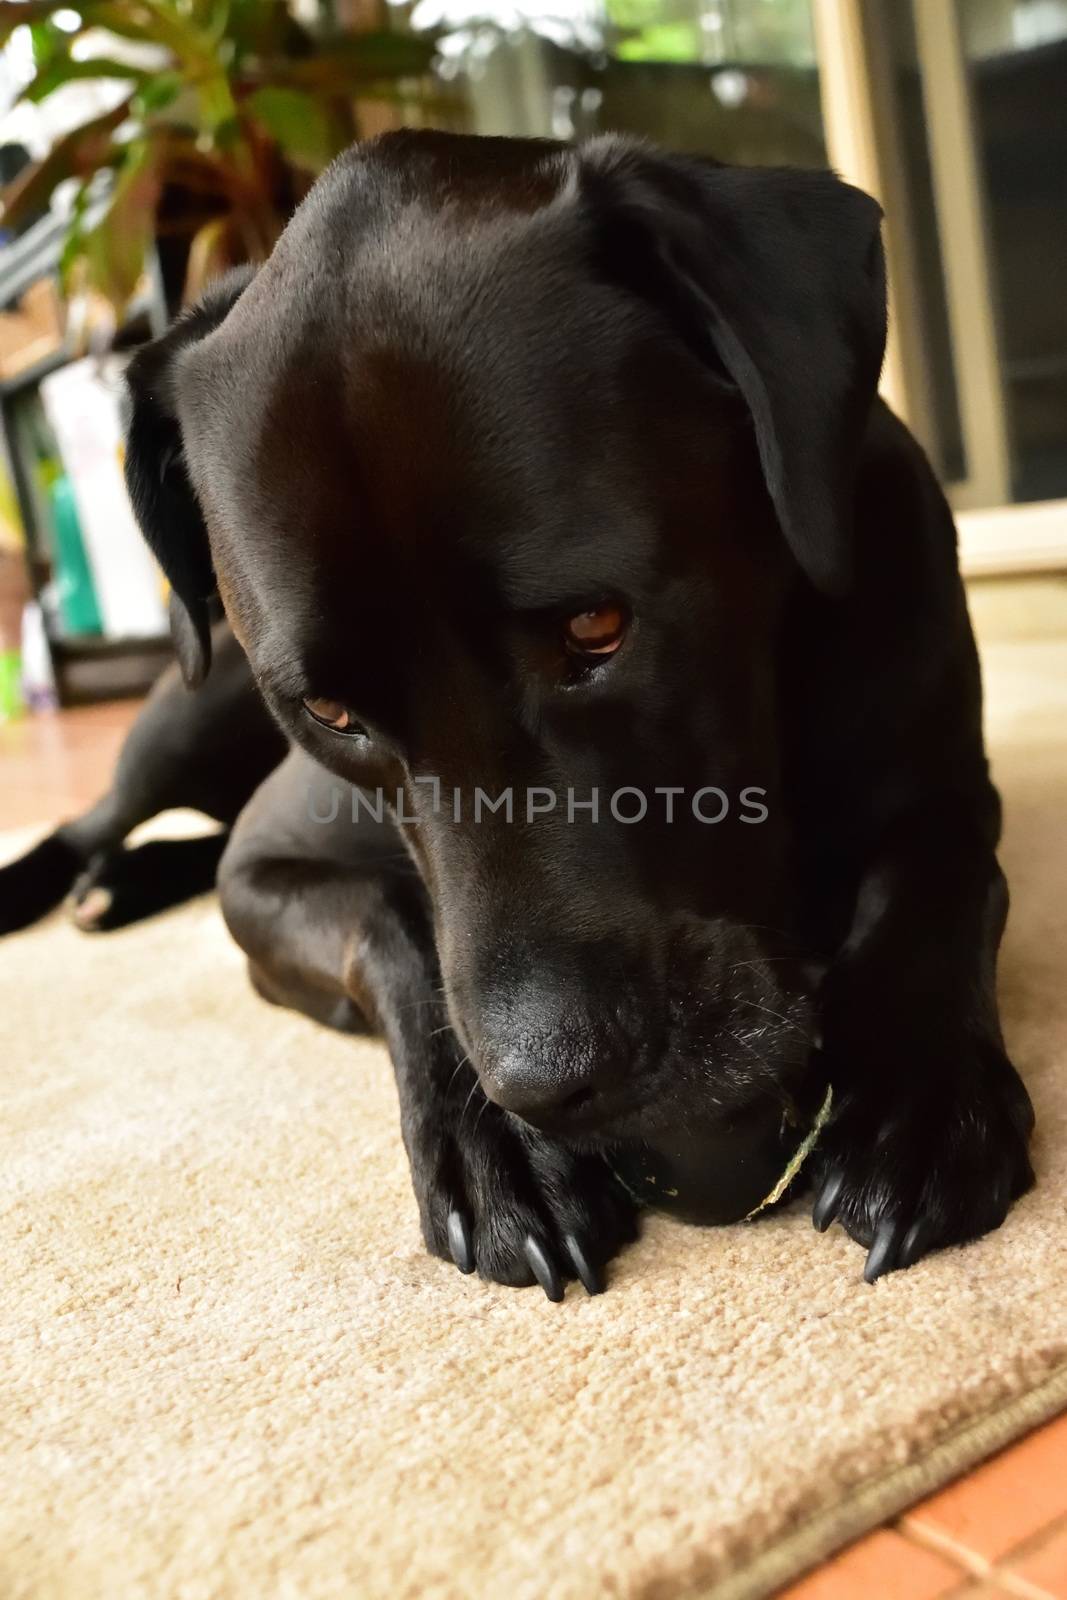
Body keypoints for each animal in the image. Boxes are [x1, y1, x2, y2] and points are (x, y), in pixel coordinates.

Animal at [2, 128, 1036, 1299]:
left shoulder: (945, 787)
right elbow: (393, 926)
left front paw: (917, 1097)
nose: (551, 1084)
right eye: (328, 710)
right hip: (181, 721)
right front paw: (495, 1139)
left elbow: (940, 885)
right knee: (94, 818)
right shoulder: (261, 874)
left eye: (597, 625)